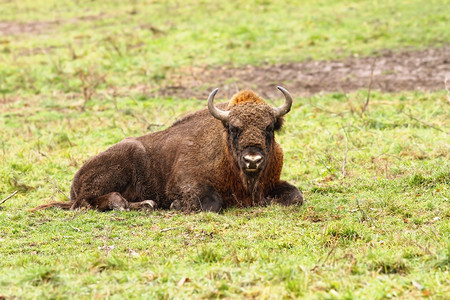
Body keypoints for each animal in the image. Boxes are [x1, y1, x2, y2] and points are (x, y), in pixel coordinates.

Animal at [35, 86, 302, 213]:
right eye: (234, 128)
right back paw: (134, 204)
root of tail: (75, 180)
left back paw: (146, 205)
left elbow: (296, 196)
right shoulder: (186, 183)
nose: (252, 159)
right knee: (88, 202)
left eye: (269, 127)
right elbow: (212, 202)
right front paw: (176, 206)